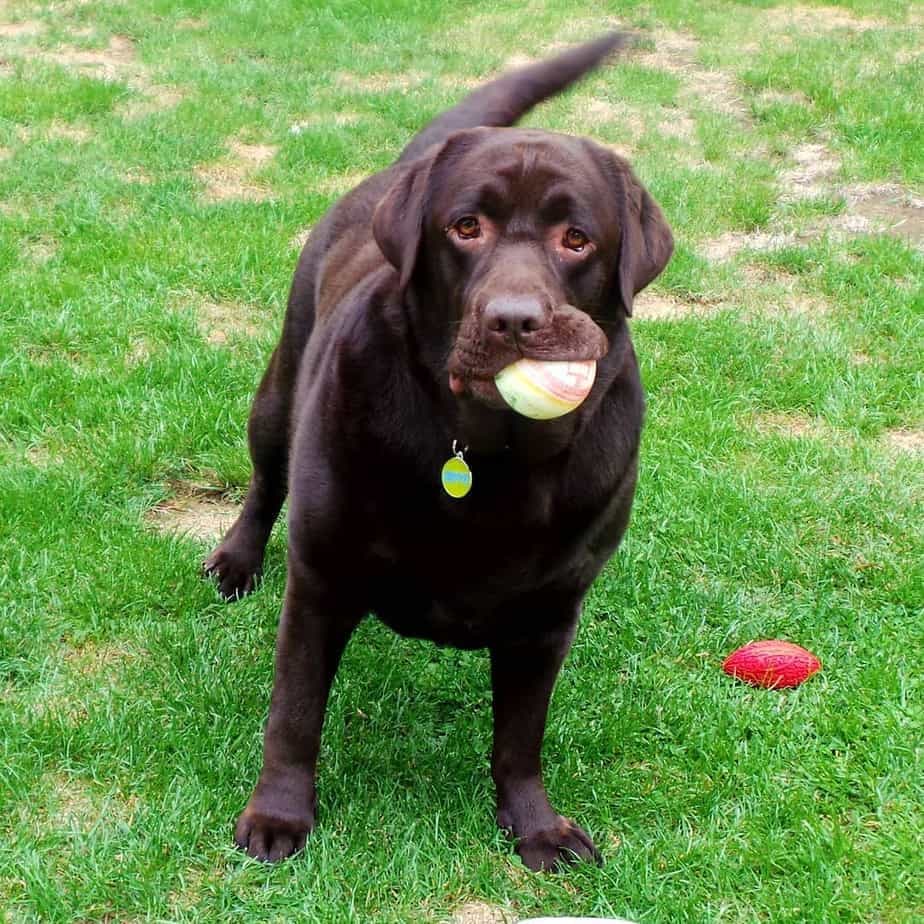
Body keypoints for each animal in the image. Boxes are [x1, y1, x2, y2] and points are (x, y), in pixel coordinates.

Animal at [208, 34, 672, 872]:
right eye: (465, 227)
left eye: (576, 240)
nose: (515, 319)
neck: (486, 453)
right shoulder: (320, 578)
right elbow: (294, 712)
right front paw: (278, 815)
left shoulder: (549, 616)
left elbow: (520, 738)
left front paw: (536, 825)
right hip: (280, 392)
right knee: (265, 480)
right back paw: (235, 560)